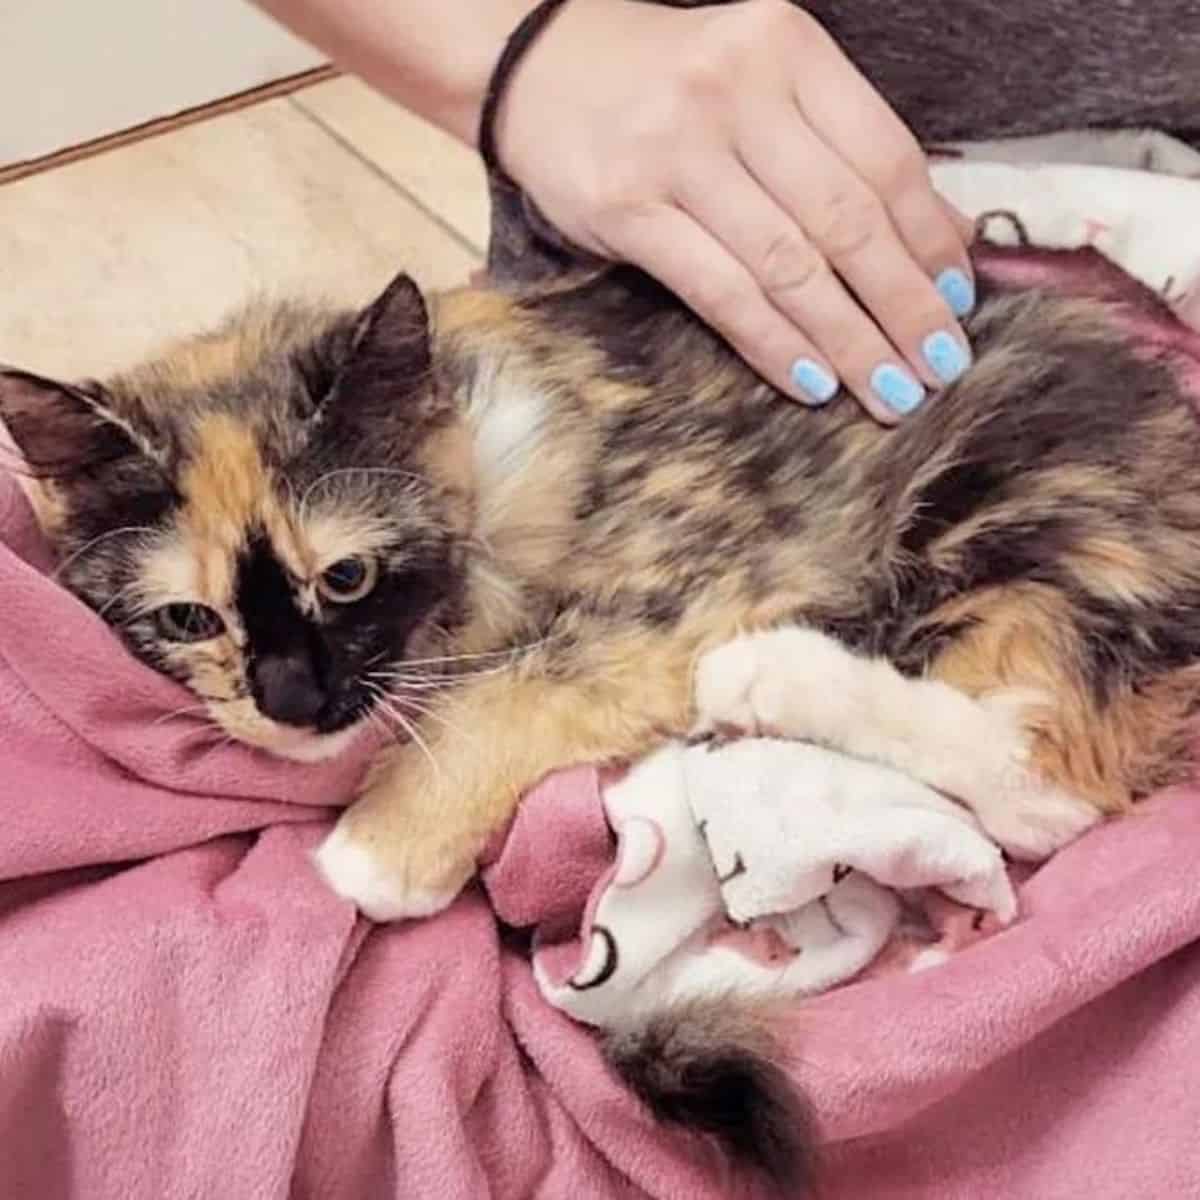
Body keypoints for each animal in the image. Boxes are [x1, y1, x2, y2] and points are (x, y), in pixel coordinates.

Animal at [2, 255, 1200, 1190]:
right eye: (187, 617)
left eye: (344, 576)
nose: (293, 702)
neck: (483, 461)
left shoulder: (695, 586)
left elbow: (523, 683)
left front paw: (379, 852)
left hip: (1007, 505)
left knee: (1048, 783)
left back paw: (769, 675)